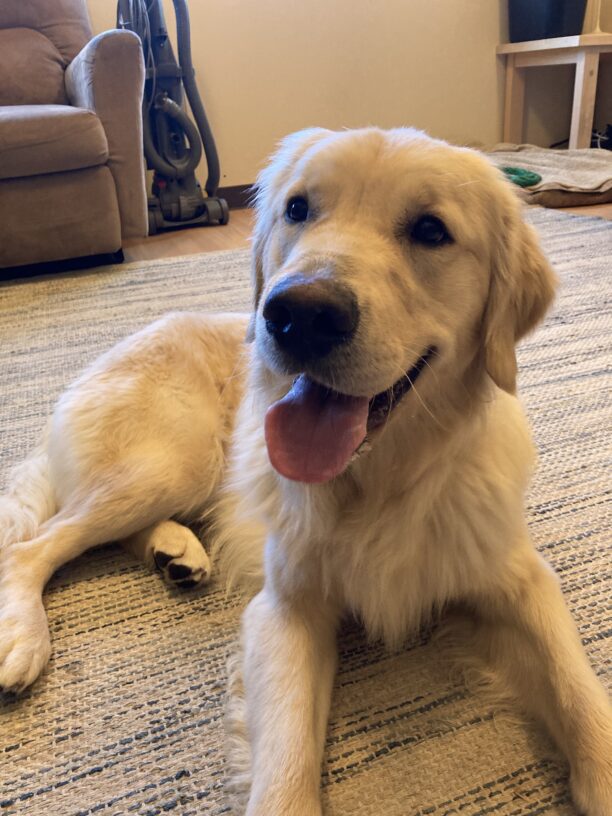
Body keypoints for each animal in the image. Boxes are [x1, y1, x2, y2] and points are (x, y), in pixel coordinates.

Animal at [1, 129, 612, 816]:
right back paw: (25, 636)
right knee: (33, 547)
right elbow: (288, 763)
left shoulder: (520, 579)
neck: (383, 482)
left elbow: (577, 688)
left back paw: (175, 551)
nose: (298, 314)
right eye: (297, 209)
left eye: (431, 230)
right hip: (172, 463)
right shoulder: (287, 609)